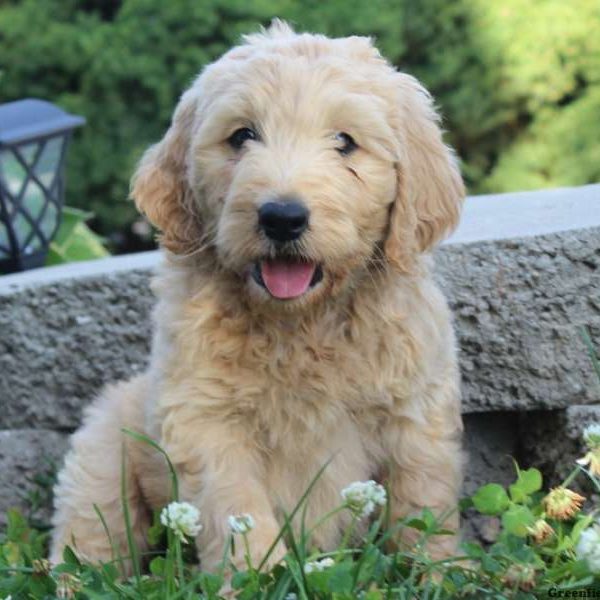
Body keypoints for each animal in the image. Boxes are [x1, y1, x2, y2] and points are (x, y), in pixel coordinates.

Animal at [50, 18, 464, 572]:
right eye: (242, 136)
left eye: (346, 142)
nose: (282, 217)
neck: (301, 324)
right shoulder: (205, 418)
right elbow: (235, 508)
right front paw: (257, 576)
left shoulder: (414, 409)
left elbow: (424, 501)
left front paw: (441, 573)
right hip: (101, 453)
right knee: (93, 533)